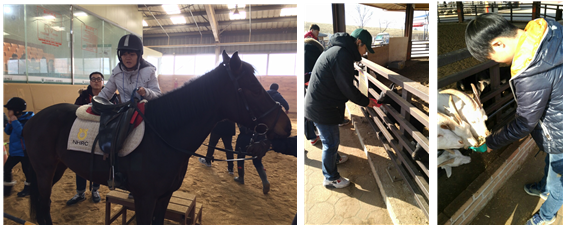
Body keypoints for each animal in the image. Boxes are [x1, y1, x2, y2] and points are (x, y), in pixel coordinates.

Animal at [23, 50, 290, 225]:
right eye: (254, 90)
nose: (286, 126)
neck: (163, 135)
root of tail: (34, 119)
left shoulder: (164, 196)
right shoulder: (145, 199)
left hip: (57, 168)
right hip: (44, 171)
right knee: (44, 204)